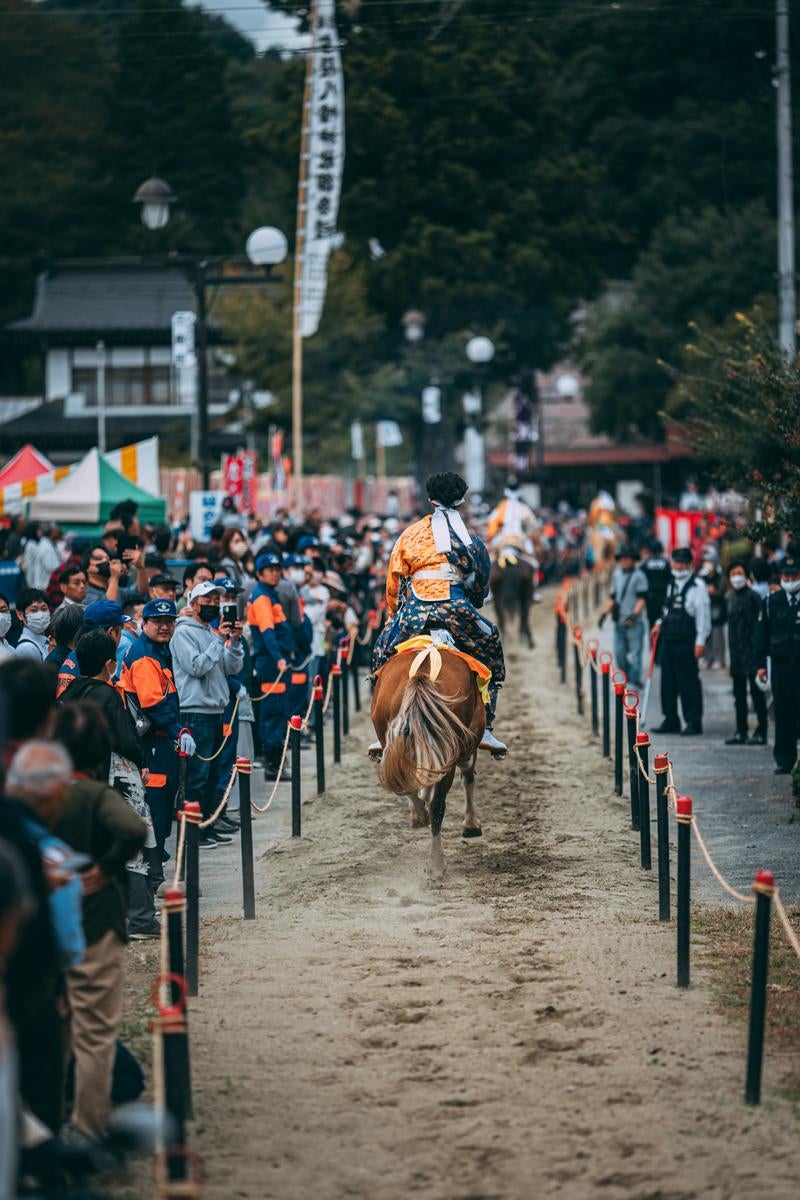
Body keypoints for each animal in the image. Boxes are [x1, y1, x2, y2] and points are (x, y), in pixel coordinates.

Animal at [371, 643, 489, 878]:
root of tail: (422, 672)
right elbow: (467, 776)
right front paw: (471, 823)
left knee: (404, 780)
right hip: (453, 749)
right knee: (439, 803)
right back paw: (436, 861)